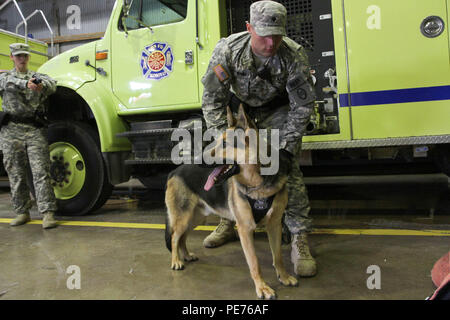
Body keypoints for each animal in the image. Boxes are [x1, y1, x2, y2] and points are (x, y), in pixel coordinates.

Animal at [163, 104, 298, 298]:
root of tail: (174, 171)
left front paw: (284, 276)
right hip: (183, 217)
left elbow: (278, 256)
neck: (257, 183)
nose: (197, 160)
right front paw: (262, 287)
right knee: (174, 237)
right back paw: (176, 261)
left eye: (226, 144)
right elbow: (254, 262)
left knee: (181, 237)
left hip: (195, 218)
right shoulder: (245, 229)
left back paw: (186, 255)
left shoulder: (274, 225)